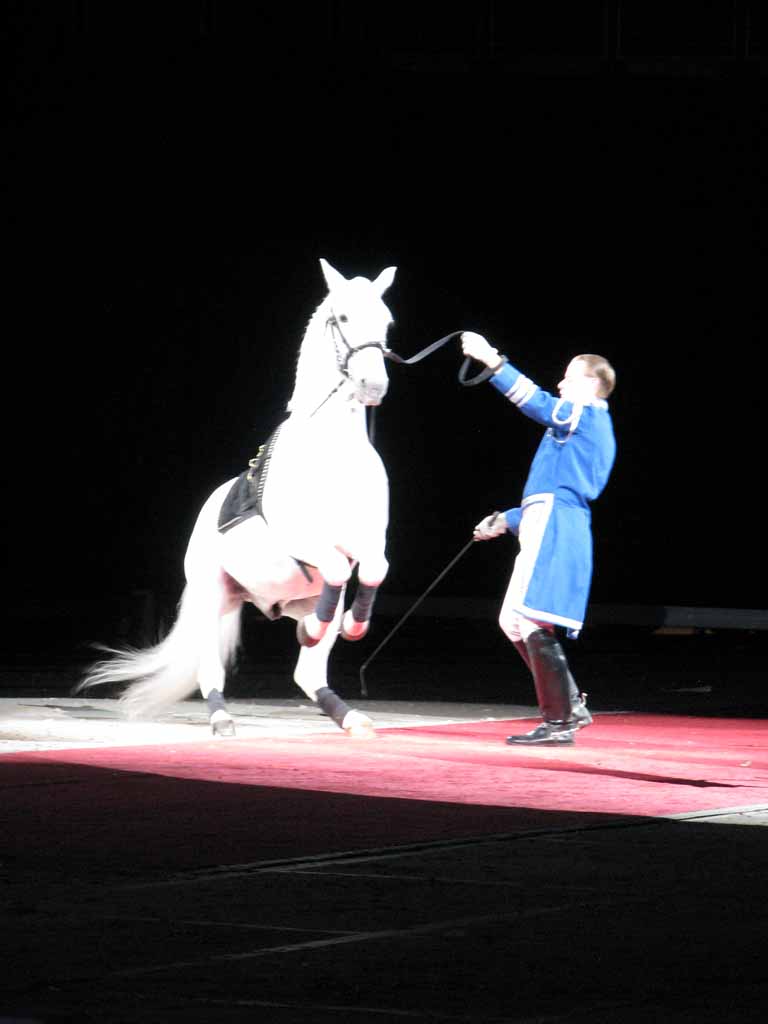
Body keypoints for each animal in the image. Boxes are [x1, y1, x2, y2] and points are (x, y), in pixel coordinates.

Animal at [78, 258, 397, 737]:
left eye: (387, 322)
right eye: (342, 318)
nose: (373, 384)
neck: (331, 450)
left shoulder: (367, 539)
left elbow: (374, 567)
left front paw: (349, 626)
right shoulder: (301, 538)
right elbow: (339, 566)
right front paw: (325, 626)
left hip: (281, 598)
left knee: (308, 671)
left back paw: (347, 710)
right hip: (212, 595)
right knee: (209, 668)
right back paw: (223, 718)